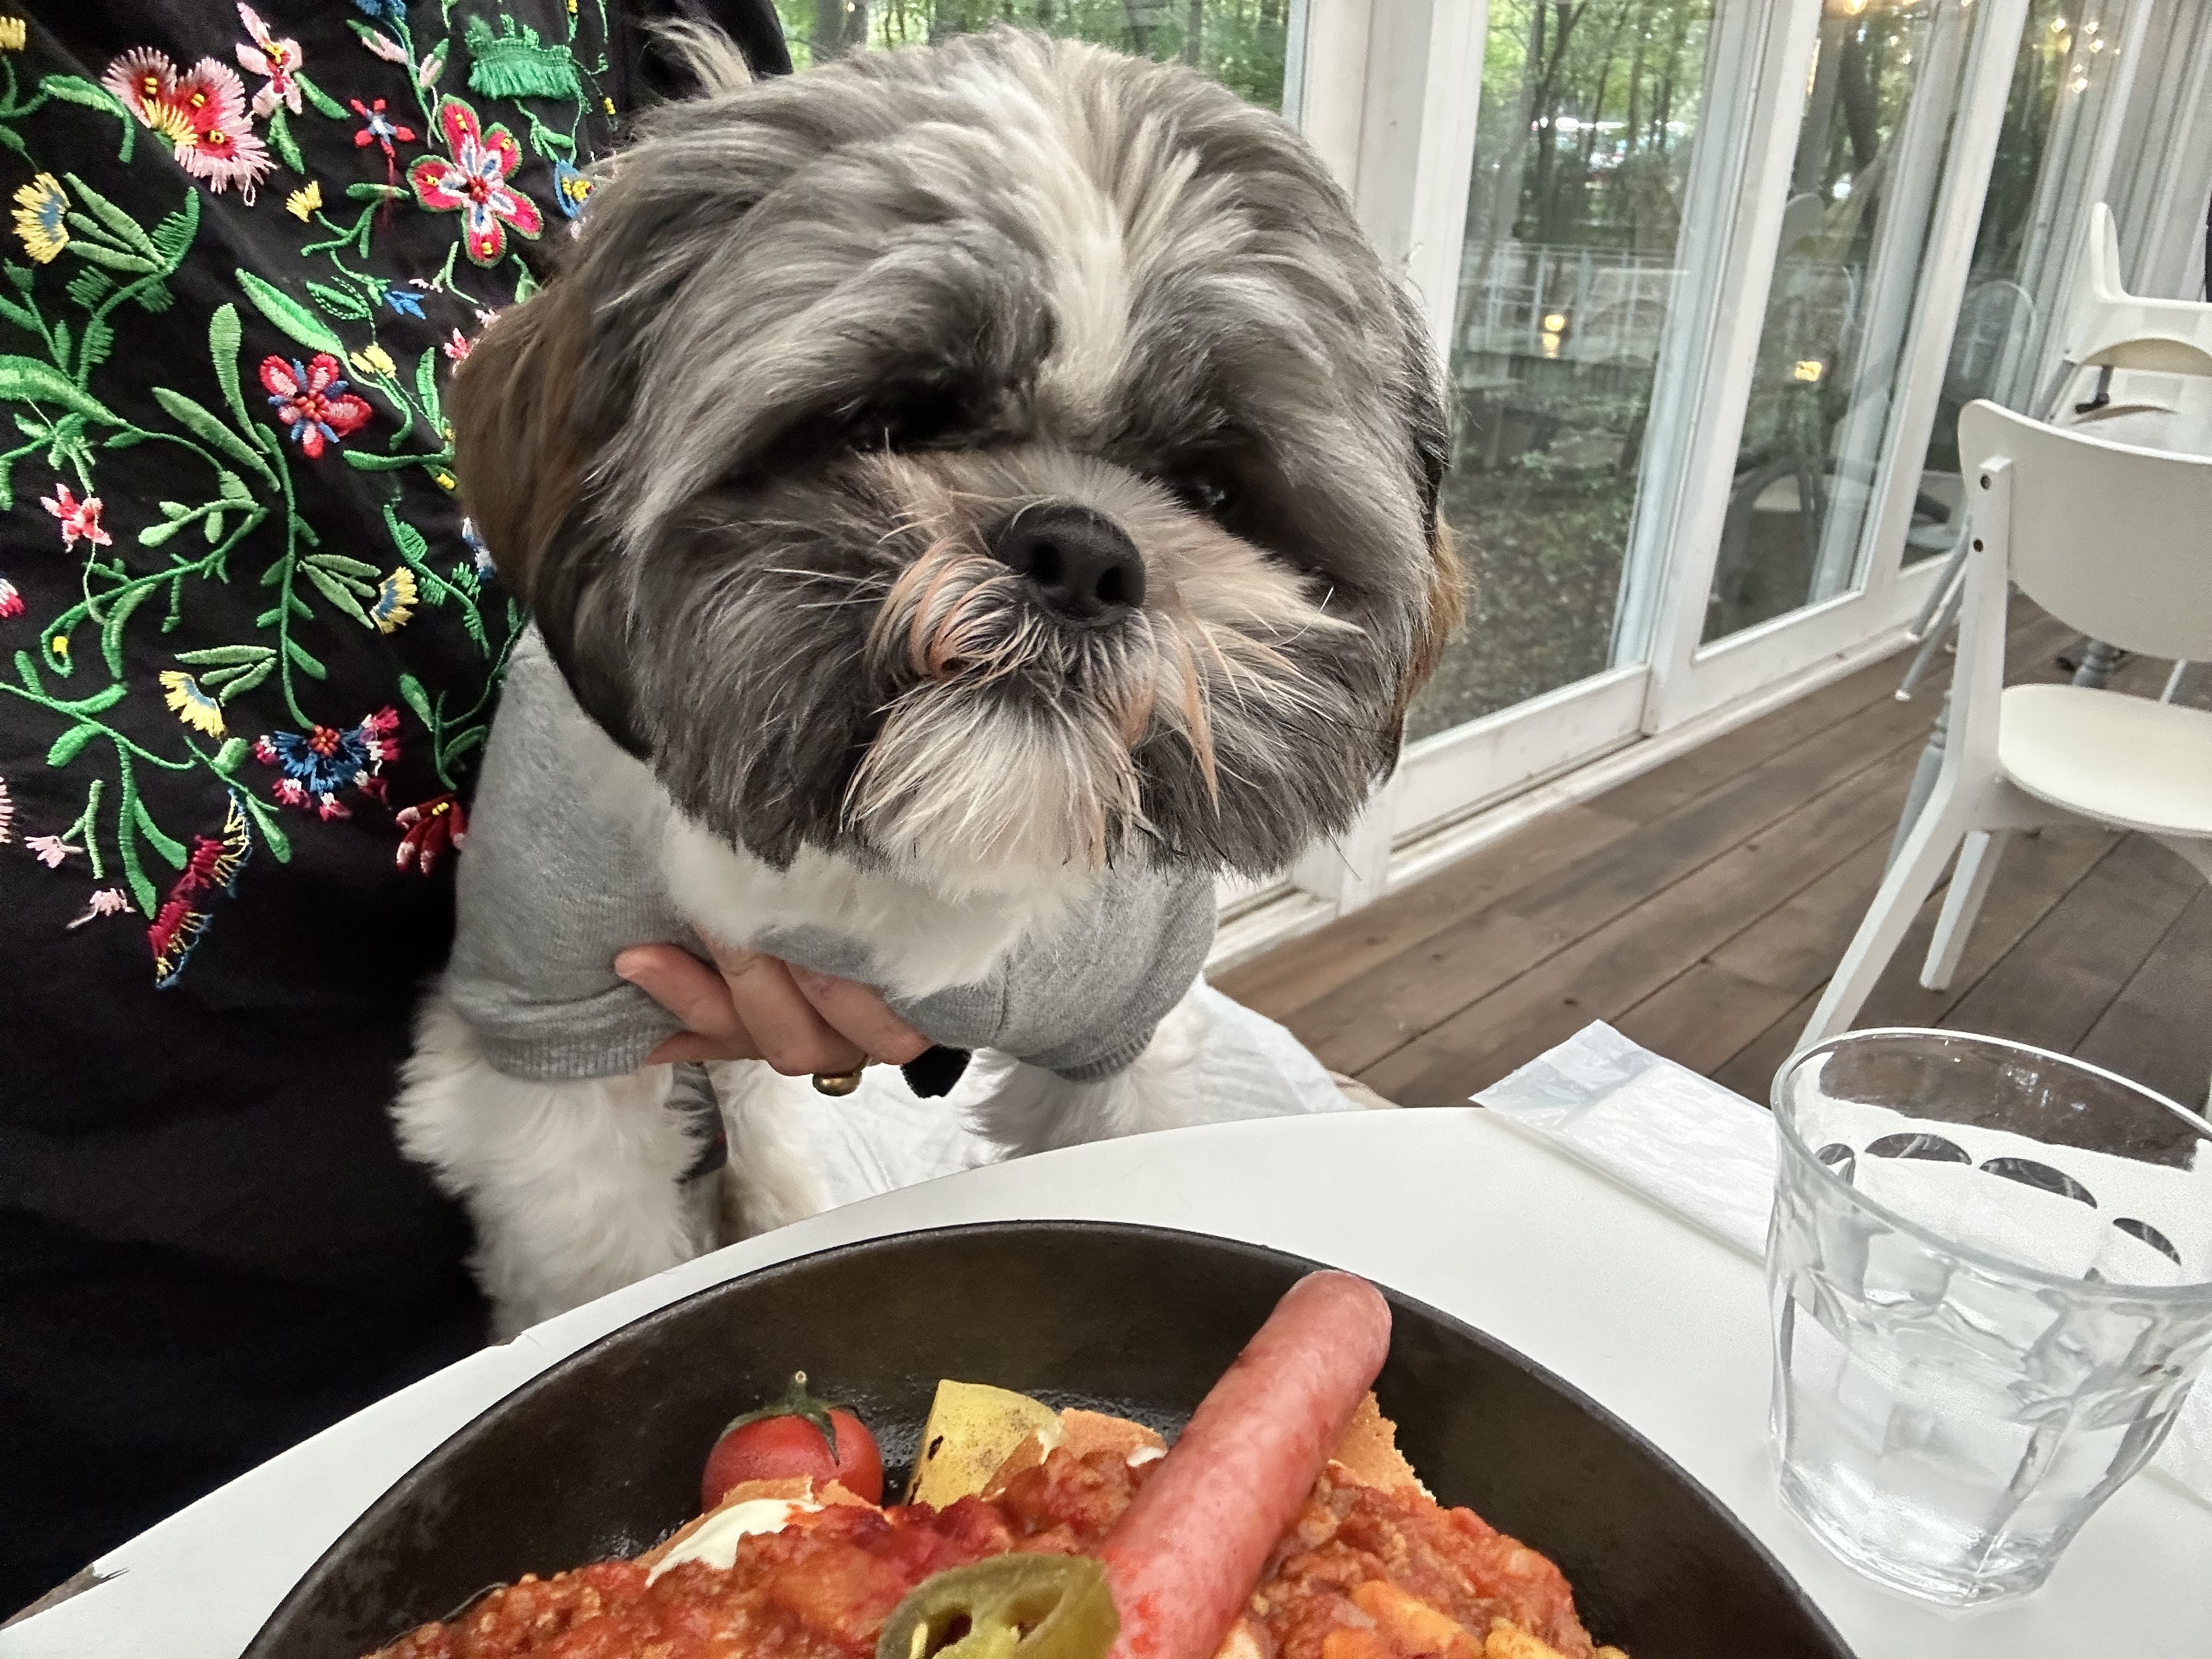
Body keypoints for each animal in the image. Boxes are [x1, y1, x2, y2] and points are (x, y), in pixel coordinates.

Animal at [393, 22, 1469, 1336]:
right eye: (894, 419)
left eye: (1214, 489)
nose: (1082, 553)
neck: (891, 876)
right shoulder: (553, 1046)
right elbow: (598, 1256)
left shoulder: (1122, 1033)